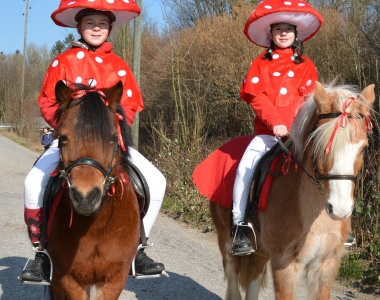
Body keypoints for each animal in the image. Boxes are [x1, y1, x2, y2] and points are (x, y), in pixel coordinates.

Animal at [47, 81, 140, 298]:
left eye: (113, 138)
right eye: (63, 137)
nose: (85, 197)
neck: (96, 224)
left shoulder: (115, 279)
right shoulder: (69, 279)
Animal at [212, 82, 376, 300]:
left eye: (363, 148)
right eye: (318, 145)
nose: (340, 209)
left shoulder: (326, 265)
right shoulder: (285, 265)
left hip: (260, 253)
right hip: (226, 244)